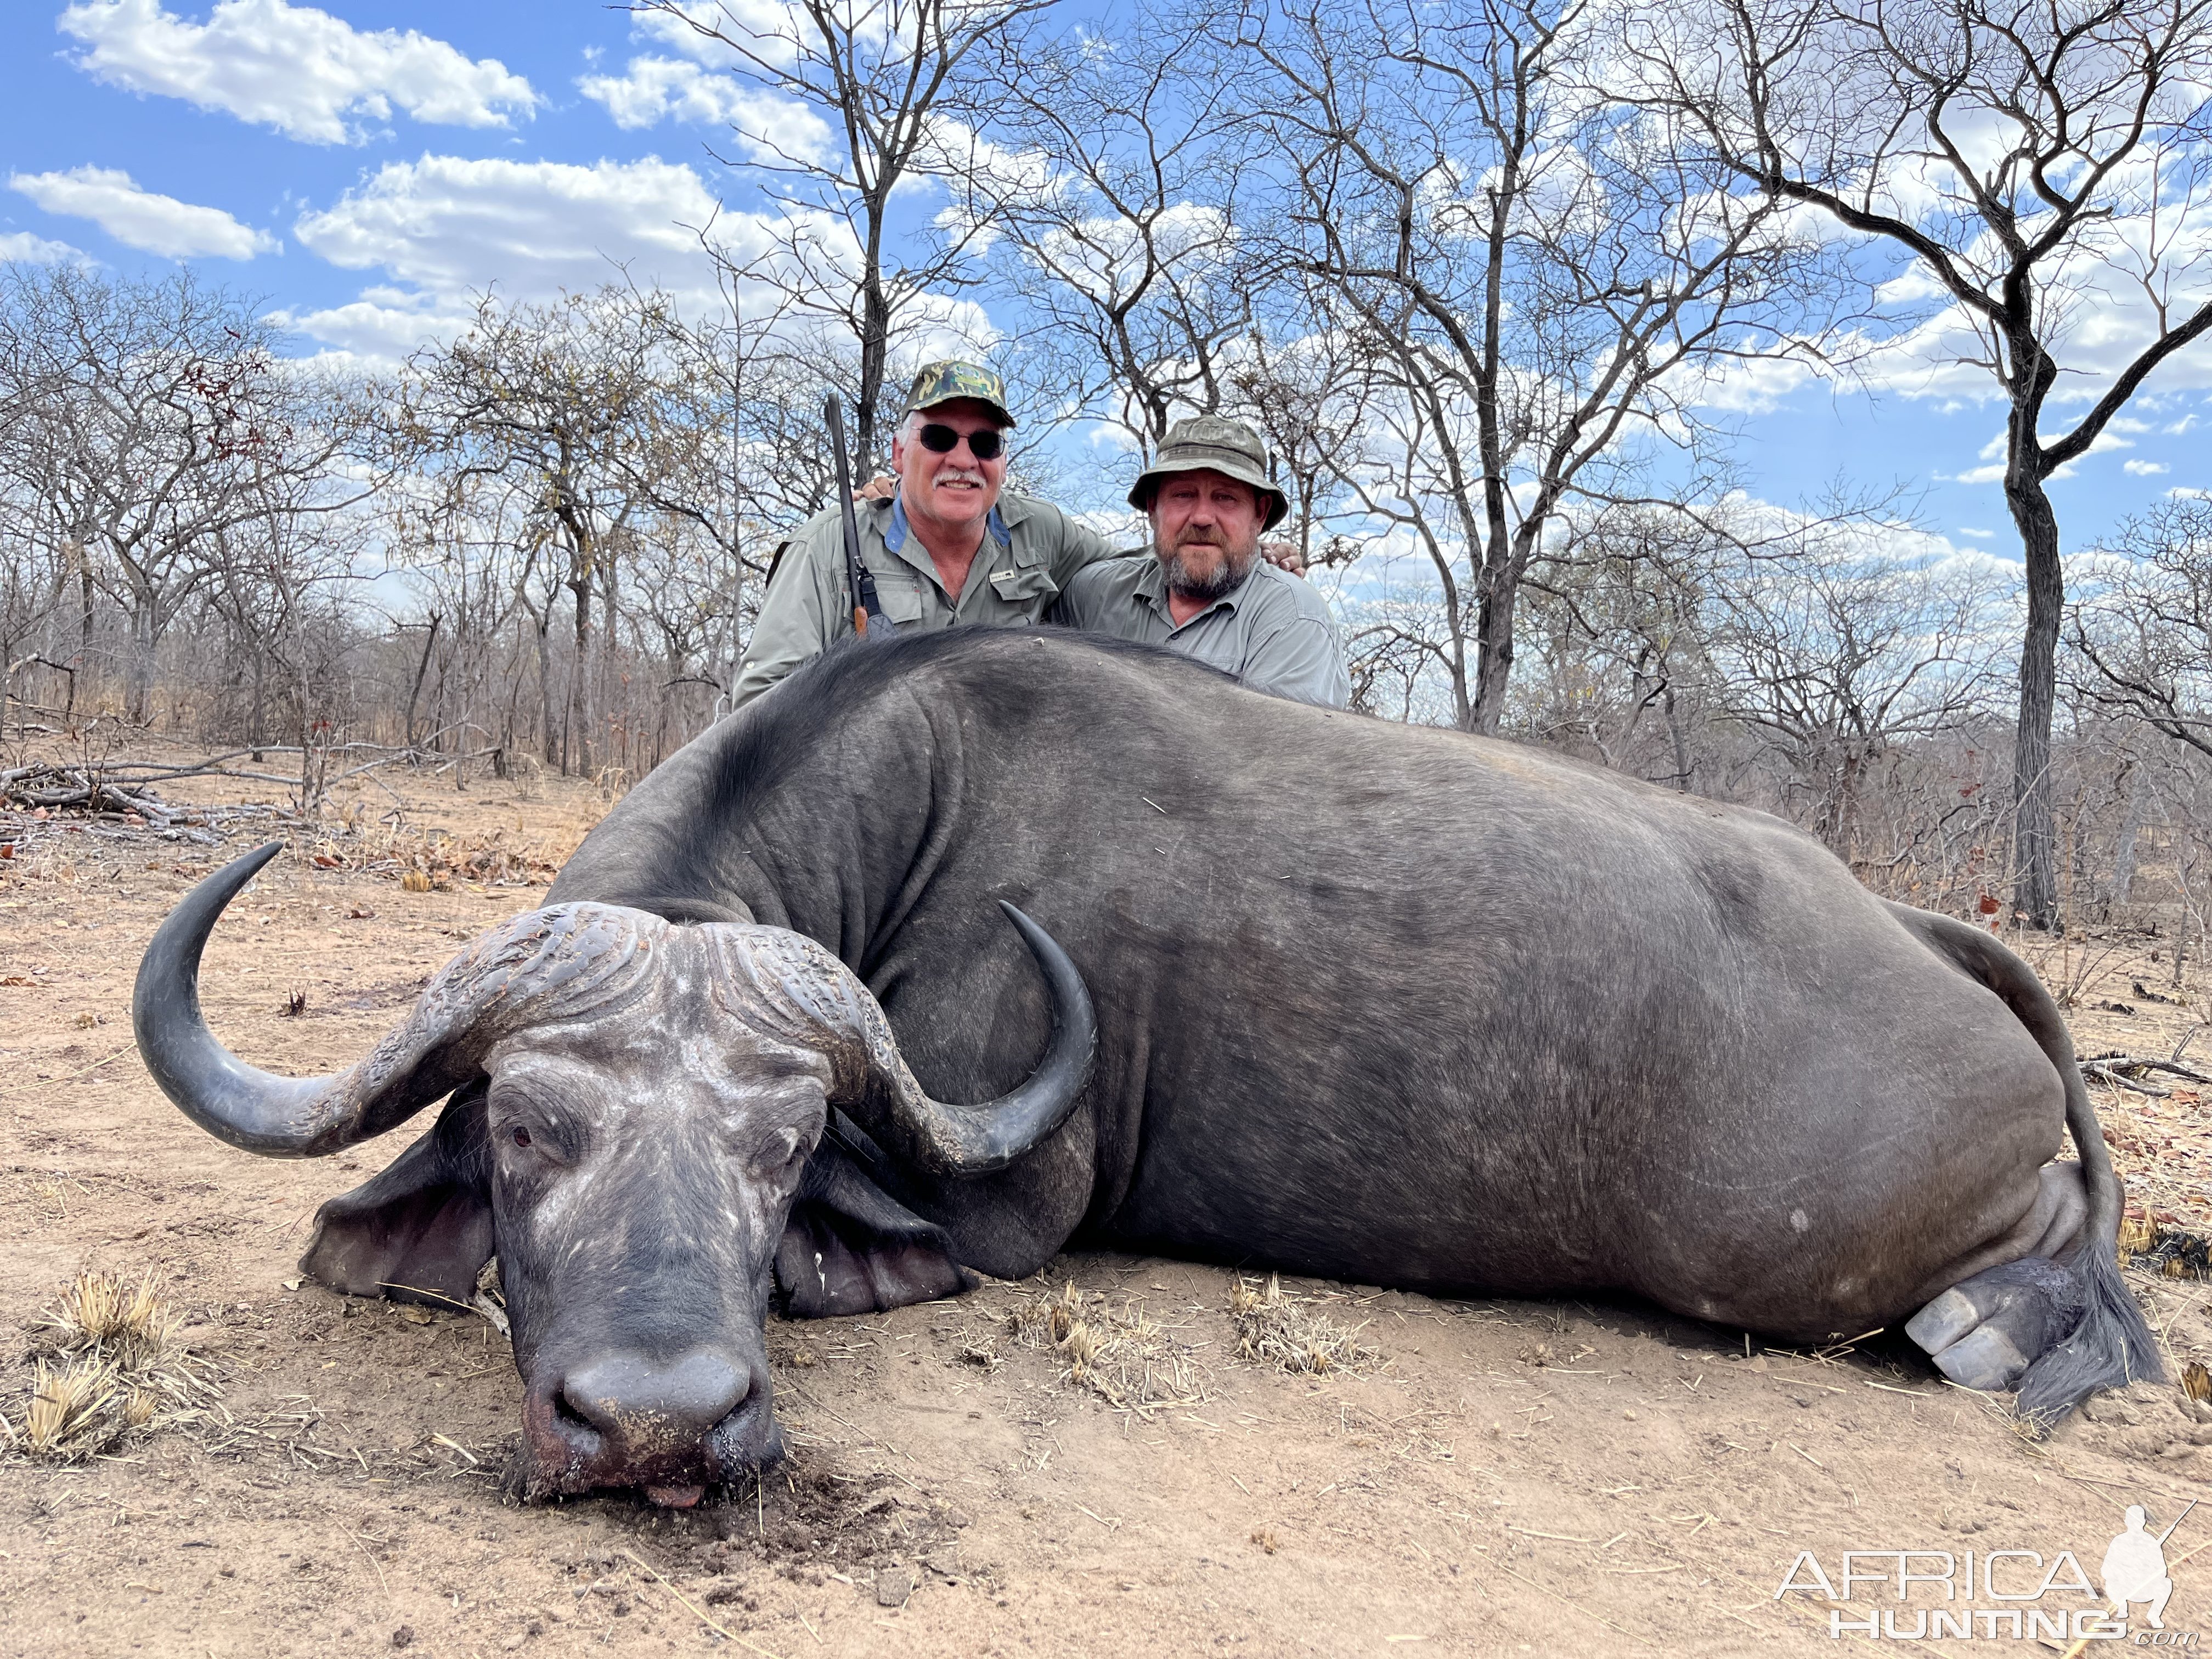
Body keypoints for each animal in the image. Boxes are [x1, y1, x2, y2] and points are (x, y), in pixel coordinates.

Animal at [138, 628, 2159, 1504]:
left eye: (783, 1154)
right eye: (526, 1131)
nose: (658, 1422)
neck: (913, 805)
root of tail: (1924, 930)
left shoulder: (1005, 1211)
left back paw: (2003, 1330)